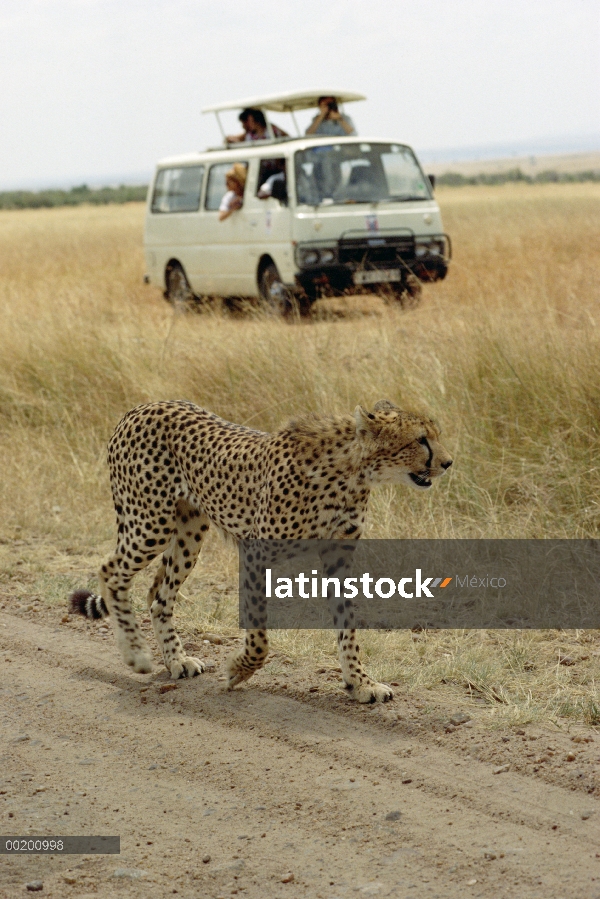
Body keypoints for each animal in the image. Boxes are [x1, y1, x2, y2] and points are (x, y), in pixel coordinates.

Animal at [69, 400, 450, 704]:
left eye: (435, 434)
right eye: (420, 439)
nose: (448, 462)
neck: (352, 472)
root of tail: (141, 407)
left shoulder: (338, 557)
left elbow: (348, 626)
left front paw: (359, 683)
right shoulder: (255, 553)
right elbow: (259, 637)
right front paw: (238, 670)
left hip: (190, 531)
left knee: (159, 597)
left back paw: (176, 661)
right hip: (151, 523)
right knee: (110, 572)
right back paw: (136, 653)